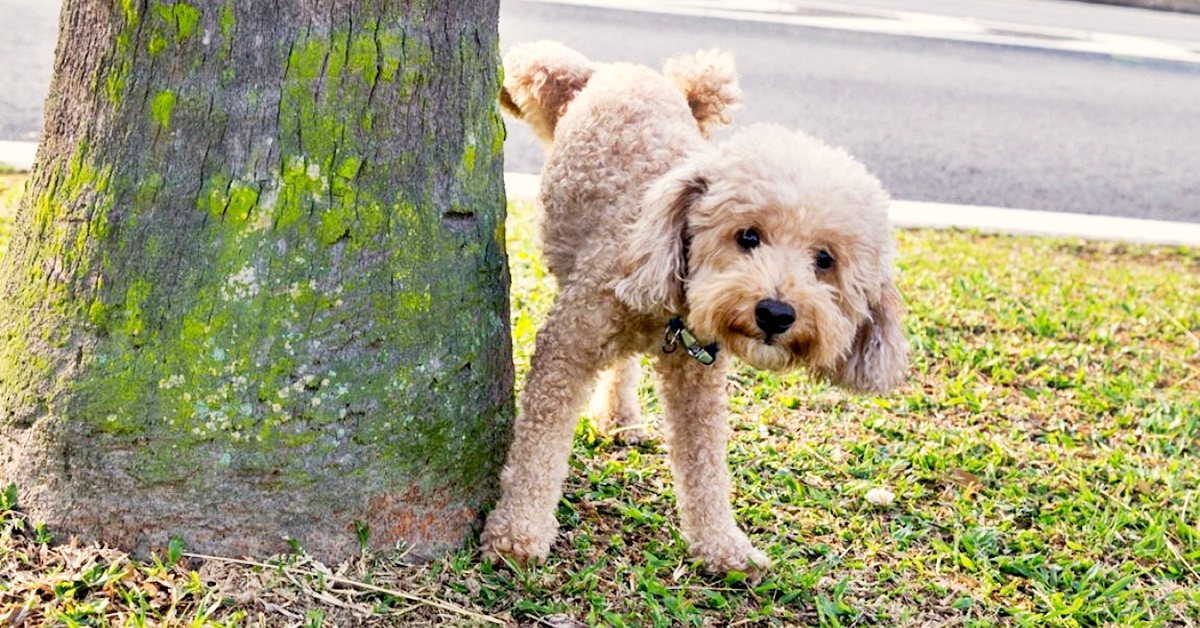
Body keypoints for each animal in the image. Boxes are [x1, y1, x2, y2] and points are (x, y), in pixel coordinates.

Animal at [480, 40, 907, 573]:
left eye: (824, 260)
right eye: (748, 236)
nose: (775, 314)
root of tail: (631, 72)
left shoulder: (697, 377)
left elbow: (705, 465)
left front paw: (723, 545)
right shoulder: (568, 345)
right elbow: (539, 444)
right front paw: (518, 531)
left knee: (623, 366)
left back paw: (620, 417)